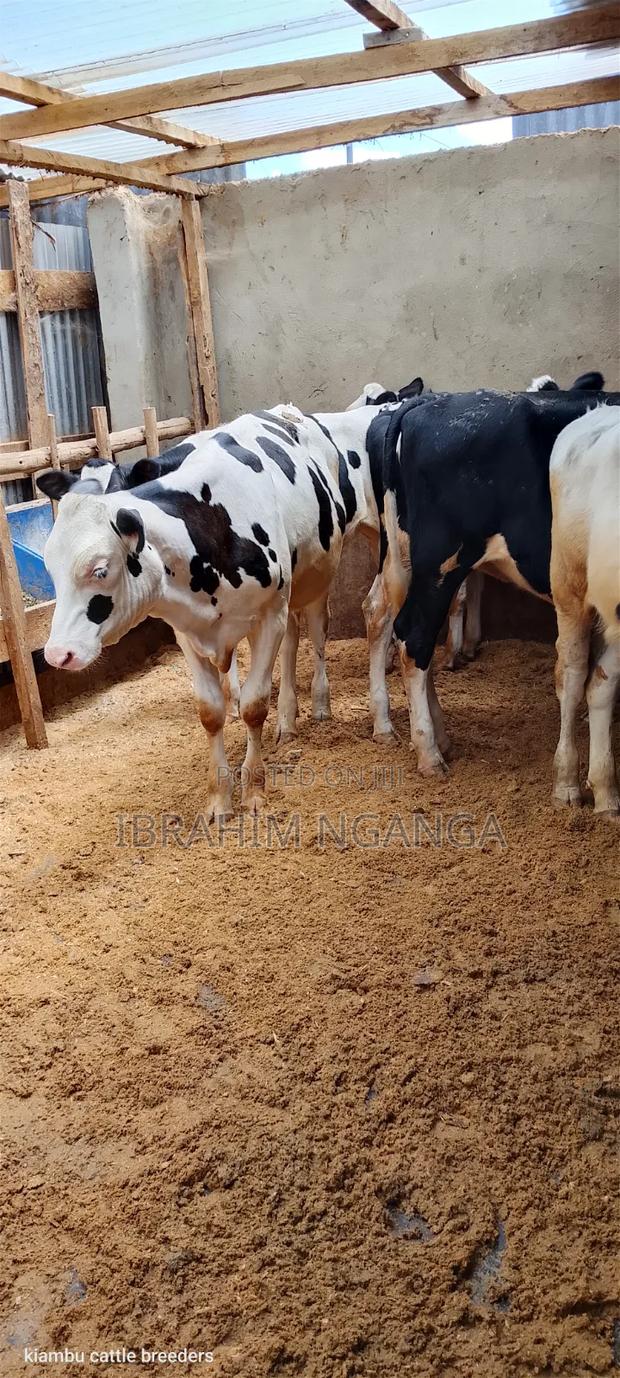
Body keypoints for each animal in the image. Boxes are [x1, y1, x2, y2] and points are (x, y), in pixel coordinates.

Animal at [365, 384, 619, 779]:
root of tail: (425, 402)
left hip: (400, 557)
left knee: (382, 614)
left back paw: (398, 729)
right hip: (442, 559)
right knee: (415, 635)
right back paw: (429, 753)